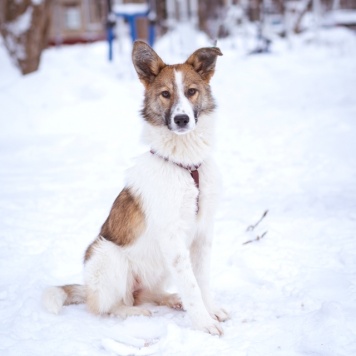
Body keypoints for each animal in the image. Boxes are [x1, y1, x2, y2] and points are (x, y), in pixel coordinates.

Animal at [43, 40, 228, 336]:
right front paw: (203, 323)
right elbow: (191, 286)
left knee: (144, 293)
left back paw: (171, 299)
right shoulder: (172, 237)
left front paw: (210, 310)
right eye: (165, 94)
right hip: (107, 255)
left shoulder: (202, 233)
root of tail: (88, 289)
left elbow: (201, 281)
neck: (186, 166)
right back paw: (133, 312)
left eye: (191, 91)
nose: (181, 120)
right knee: (107, 306)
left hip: (159, 267)